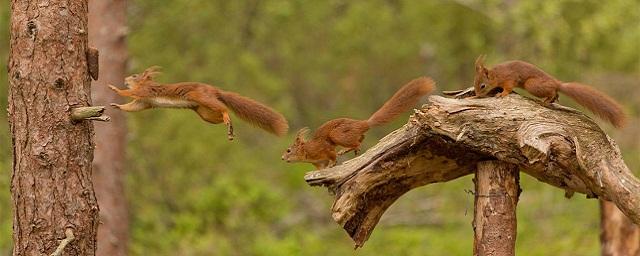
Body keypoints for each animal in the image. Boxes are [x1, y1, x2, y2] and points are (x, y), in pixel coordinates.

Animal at [109, 66, 288, 140]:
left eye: (134, 75)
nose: (125, 79)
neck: (145, 83)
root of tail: (215, 90)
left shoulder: (145, 92)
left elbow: (129, 93)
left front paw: (114, 88)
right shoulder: (143, 102)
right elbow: (132, 107)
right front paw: (117, 106)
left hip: (201, 97)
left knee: (224, 108)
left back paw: (227, 118)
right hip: (205, 113)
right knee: (220, 116)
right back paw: (230, 127)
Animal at [282, 77, 438, 169]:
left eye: (289, 150)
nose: (282, 158)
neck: (307, 152)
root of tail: (364, 123)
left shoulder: (323, 148)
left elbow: (331, 155)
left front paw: (333, 163)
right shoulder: (318, 162)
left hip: (338, 134)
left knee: (357, 141)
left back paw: (351, 149)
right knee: (361, 137)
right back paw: (346, 150)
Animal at [476, 56, 624, 128]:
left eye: (483, 86)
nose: (477, 95)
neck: (496, 75)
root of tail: (556, 82)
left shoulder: (509, 79)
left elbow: (508, 88)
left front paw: (502, 94)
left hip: (532, 85)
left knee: (551, 91)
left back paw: (546, 100)